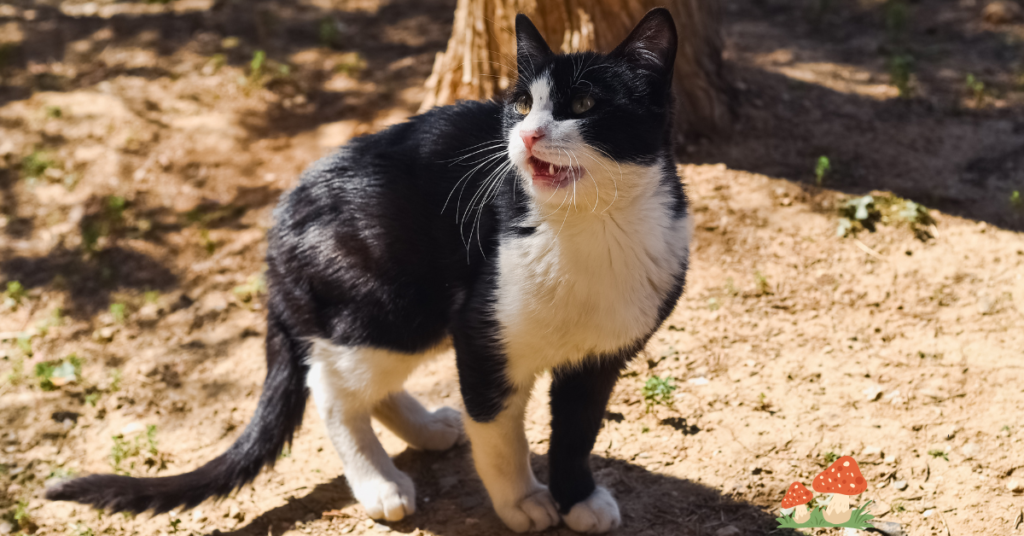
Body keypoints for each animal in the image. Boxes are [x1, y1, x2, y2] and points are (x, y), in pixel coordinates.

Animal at [46, 7, 688, 532]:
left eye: (583, 107)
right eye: (523, 104)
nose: (527, 134)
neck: (590, 228)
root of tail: (277, 227)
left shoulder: (601, 356)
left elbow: (577, 431)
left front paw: (577, 498)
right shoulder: (483, 337)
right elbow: (500, 434)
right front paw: (523, 502)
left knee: (357, 377)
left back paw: (427, 428)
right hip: (394, 304)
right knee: (330, 385)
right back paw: (379, 482)